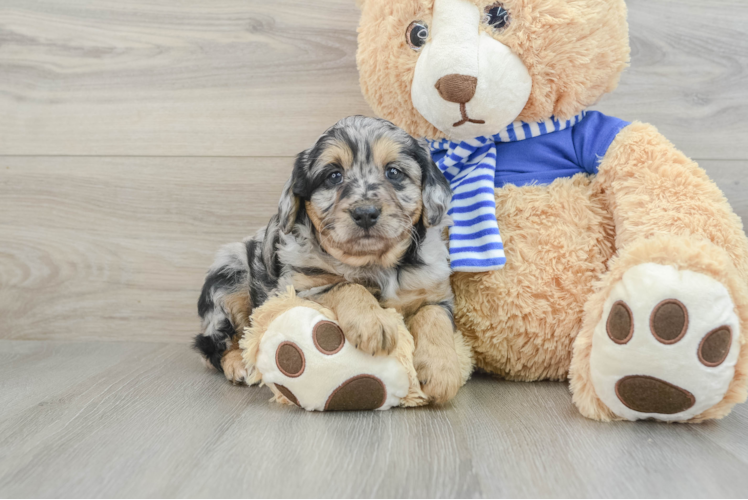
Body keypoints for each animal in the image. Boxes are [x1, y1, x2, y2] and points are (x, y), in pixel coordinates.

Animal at [193, 116, 462, 402]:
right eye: (334, 176)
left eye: (394, 172)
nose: (365, 213)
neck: (374, 263)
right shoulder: (297, 289)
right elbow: (346, 284)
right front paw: (374, 322)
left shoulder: (435, 290)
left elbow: (434, 316)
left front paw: (441, 373)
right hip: (229, 276)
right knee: (213, 344)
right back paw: (238, 364)